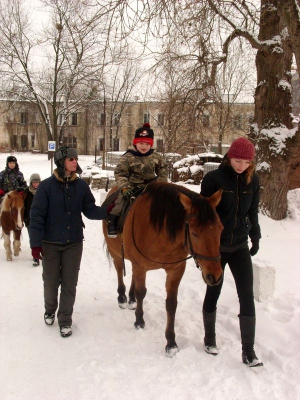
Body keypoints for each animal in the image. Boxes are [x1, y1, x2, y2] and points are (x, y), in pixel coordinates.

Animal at [103, 181, 223, 356]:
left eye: (221, 229)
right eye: (194, 234)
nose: (215, 275)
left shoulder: (176, 270)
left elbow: (171, 303)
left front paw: (171, 343)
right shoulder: (141, 265)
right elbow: (141, 292)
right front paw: (139, 321)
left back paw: (131, 299)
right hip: (116, 253)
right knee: (120, 272)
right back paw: (123, 298)